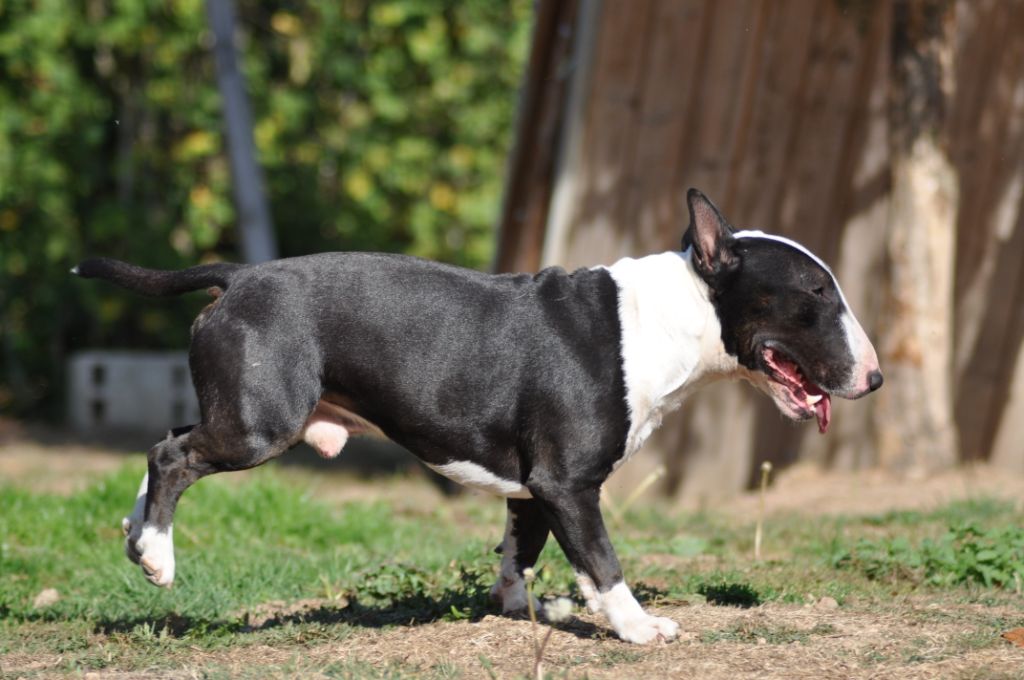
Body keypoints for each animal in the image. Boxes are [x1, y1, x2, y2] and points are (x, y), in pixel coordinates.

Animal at [77, 189, 880, 643]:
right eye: (815, 291)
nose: (874, 377)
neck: (666, 317)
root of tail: (238, 275)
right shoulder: (568, 484)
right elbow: (604, 561)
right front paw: (637, 627)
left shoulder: (534, 486)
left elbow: (521, 549)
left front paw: (522, 607)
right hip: (258, 426)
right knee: (171, 455)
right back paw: (158, 557)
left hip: (242, 417)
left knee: (168, 443)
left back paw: (137, 536)